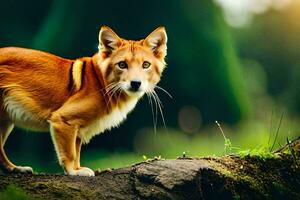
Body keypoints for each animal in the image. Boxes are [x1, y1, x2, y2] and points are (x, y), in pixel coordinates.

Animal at [0, 26, 166, 177]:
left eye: (146, 65)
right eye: (122, 64)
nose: (136, 83)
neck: (103, 83)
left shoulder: (78, 128)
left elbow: (76, 151)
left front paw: (77, 168)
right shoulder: (63, 120)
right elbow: (70, 153)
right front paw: (73, 171)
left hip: (6, 120)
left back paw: (15, 168)